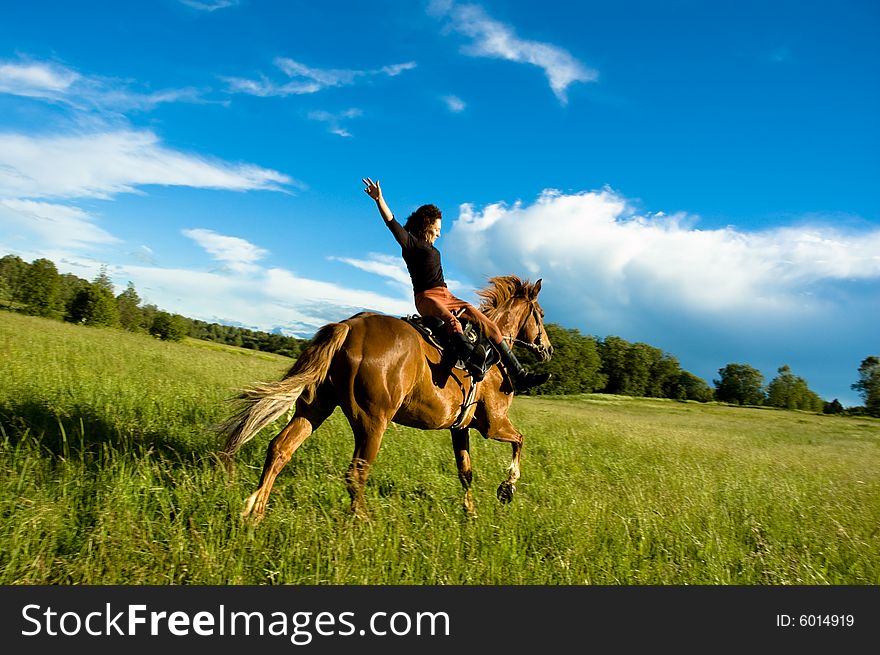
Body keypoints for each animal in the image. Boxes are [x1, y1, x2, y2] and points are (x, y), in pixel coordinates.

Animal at [218, 274, 552, 516]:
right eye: (541, 314)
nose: (547, 350)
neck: (493, 353)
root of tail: (349, 327)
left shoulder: (460, 429)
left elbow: (465, 472)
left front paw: (470, 513)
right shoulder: (492, 425)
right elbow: (520, 440)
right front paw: (507, 488)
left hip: (315, 408)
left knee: (280, 448)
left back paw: (255, 511)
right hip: (372, 423)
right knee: (355, 474)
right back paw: (362, 522)